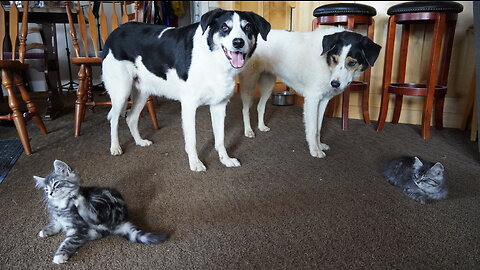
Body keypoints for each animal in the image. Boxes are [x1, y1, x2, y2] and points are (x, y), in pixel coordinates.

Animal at [34, 160, 169, 264]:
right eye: (46, 189)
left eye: (56, 184)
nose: (50, 194)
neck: (61, 206)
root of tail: (123, 218)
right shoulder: (59, 219)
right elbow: (55, 224)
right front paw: (45, 231)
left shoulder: (78, 227)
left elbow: (69, 241)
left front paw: (60, 255)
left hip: (100, 201)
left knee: (94, 217)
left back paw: (78, 198)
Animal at [101, 10, 270, 173]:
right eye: (224, 28)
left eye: (248, 27)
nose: (238, 42)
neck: (212, 58)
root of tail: (115, 31)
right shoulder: (189, 106)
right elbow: (192, 139)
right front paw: (195, 163)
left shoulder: (219, 106)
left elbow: (220, 138)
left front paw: (225, 160)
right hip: (121, 92)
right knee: (114, 119)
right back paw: (115, 147)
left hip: (142, 92)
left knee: (131, 118)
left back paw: (140, 142)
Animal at [240, 26, 382, 158]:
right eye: (334, 59)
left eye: (352, 62)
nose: (334, 84)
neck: (326, 62)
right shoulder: (312, 99)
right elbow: (313, 128)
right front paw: (314, 150)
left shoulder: (323, 100)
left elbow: (318, 127)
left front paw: (319, 145)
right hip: (249, 84)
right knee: (245, 109)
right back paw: (248, 131)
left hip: (268, 84)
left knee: (260, 106)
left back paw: (261, 126)